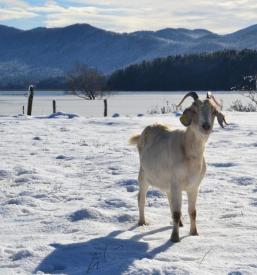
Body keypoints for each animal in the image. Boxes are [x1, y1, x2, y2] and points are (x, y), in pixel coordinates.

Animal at [129, 91, 227, 243]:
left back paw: (180, 223)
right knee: (141, 198)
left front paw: (194, 233)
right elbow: (176, 212)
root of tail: (144, 132)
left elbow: (192, 212)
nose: (206, 126)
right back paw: (142, 222)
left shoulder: (193, 187)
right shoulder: (176, 184)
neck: (188, 151)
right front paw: (175, 238)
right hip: (143, 176)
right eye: (194, 110)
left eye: (214, 111)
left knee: (169, 200)